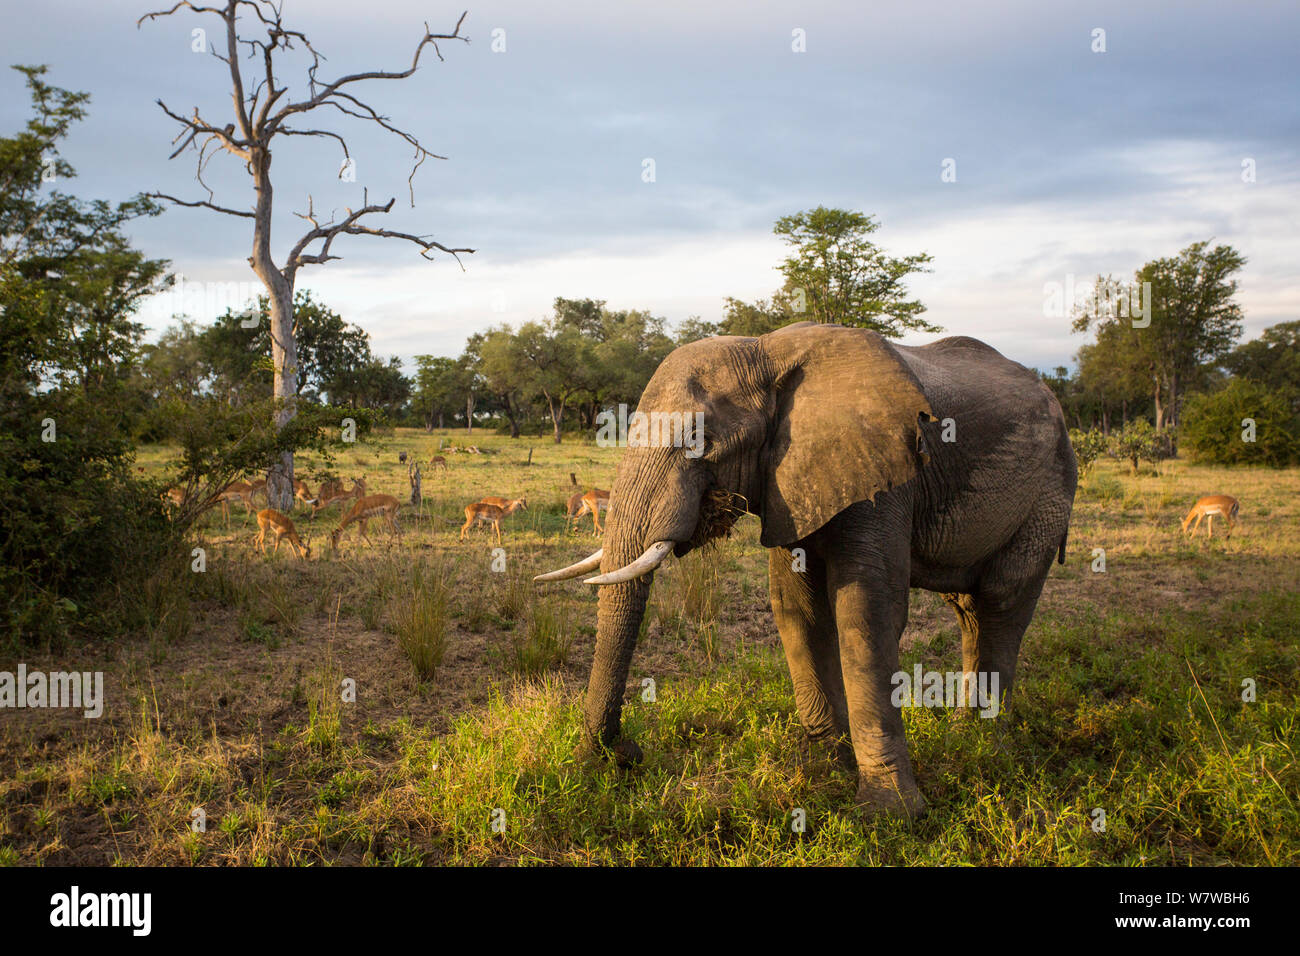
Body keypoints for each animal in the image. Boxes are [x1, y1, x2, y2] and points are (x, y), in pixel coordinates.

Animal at [530, 319, 1076, 816]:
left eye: (699, 439)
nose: (624, 755)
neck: (765, 351)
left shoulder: (883, 474)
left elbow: (867, 613)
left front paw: (890, 813)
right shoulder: (789, 481)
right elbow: (797, 607)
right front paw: (824, 767)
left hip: (1049, 492)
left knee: (1003, 601)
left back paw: (990, 745)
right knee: (968, 611)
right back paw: (967, 735)